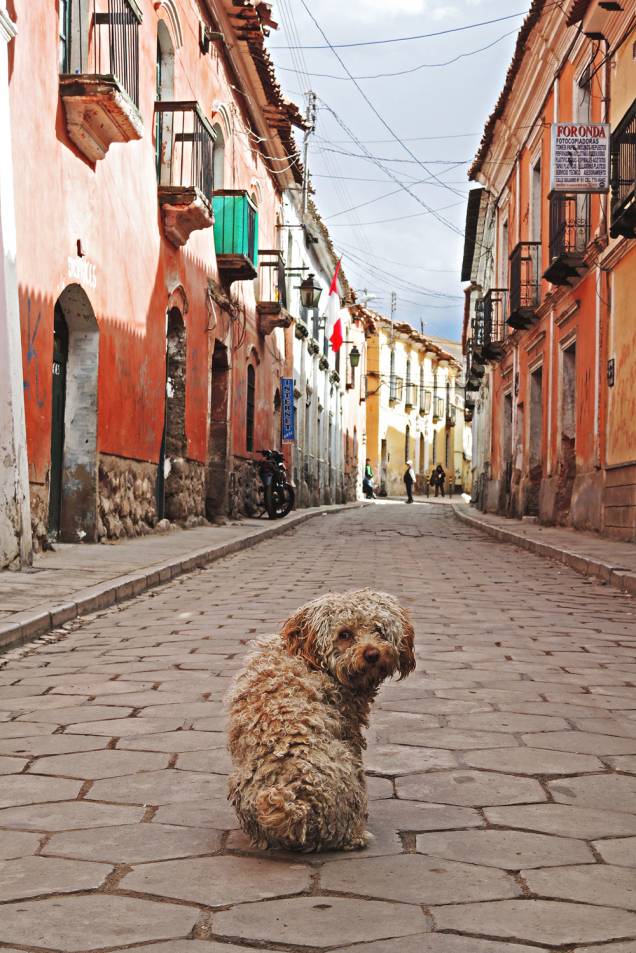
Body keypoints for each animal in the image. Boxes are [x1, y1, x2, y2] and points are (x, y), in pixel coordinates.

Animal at [226, 592, 414, 852]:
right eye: (345, 634)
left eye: (379, 629)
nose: (372, 654)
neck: (306, 658)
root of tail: (297, 805)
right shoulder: (348, 727)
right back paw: (358, 833)